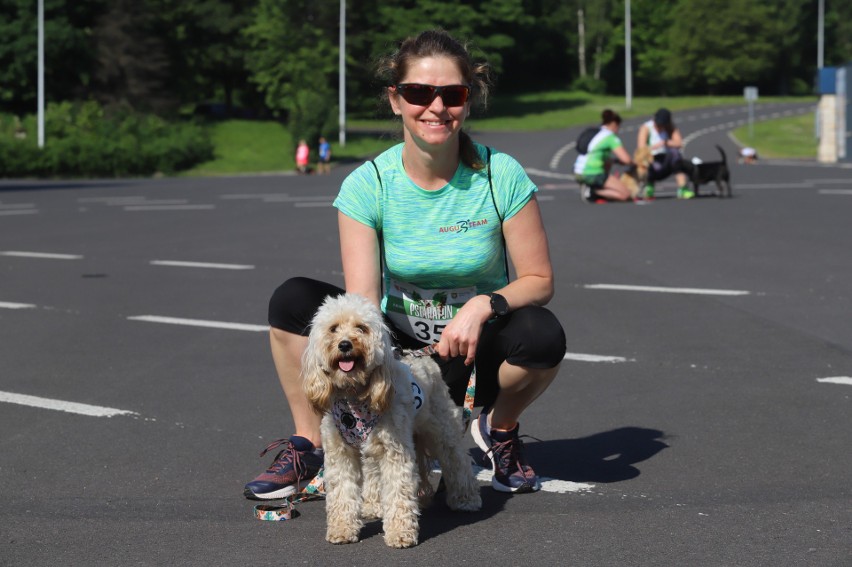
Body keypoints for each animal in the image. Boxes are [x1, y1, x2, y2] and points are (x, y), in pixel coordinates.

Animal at [304, 292, 480, 544]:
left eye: (361, 328)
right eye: (333, 328)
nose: (345, 344)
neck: (354, 397)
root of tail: (424, 358)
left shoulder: (395, 451)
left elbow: (399, 491)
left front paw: (400, 533)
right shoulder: (340, 452)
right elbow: (342, 492)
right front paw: (342, 529)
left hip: (440, 427)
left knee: (457, 459)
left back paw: (467, 499)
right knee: (373, 473)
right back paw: (373, 505)